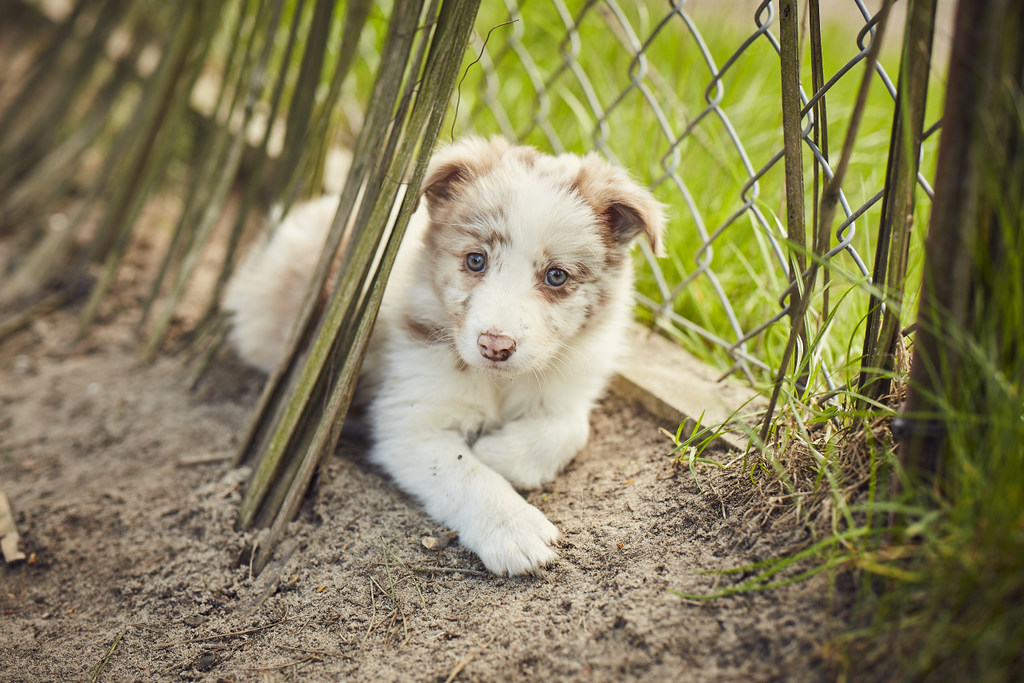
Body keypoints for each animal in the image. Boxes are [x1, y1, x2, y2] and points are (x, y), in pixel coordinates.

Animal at [224, 136, 665, 575]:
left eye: (556, 275)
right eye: (475, 260)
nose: (495, 346)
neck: (499, 383)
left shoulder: (570, 382)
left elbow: (571, 428)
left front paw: (496, 453)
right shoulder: (410, 423)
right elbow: (465, 473)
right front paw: (514, 528)